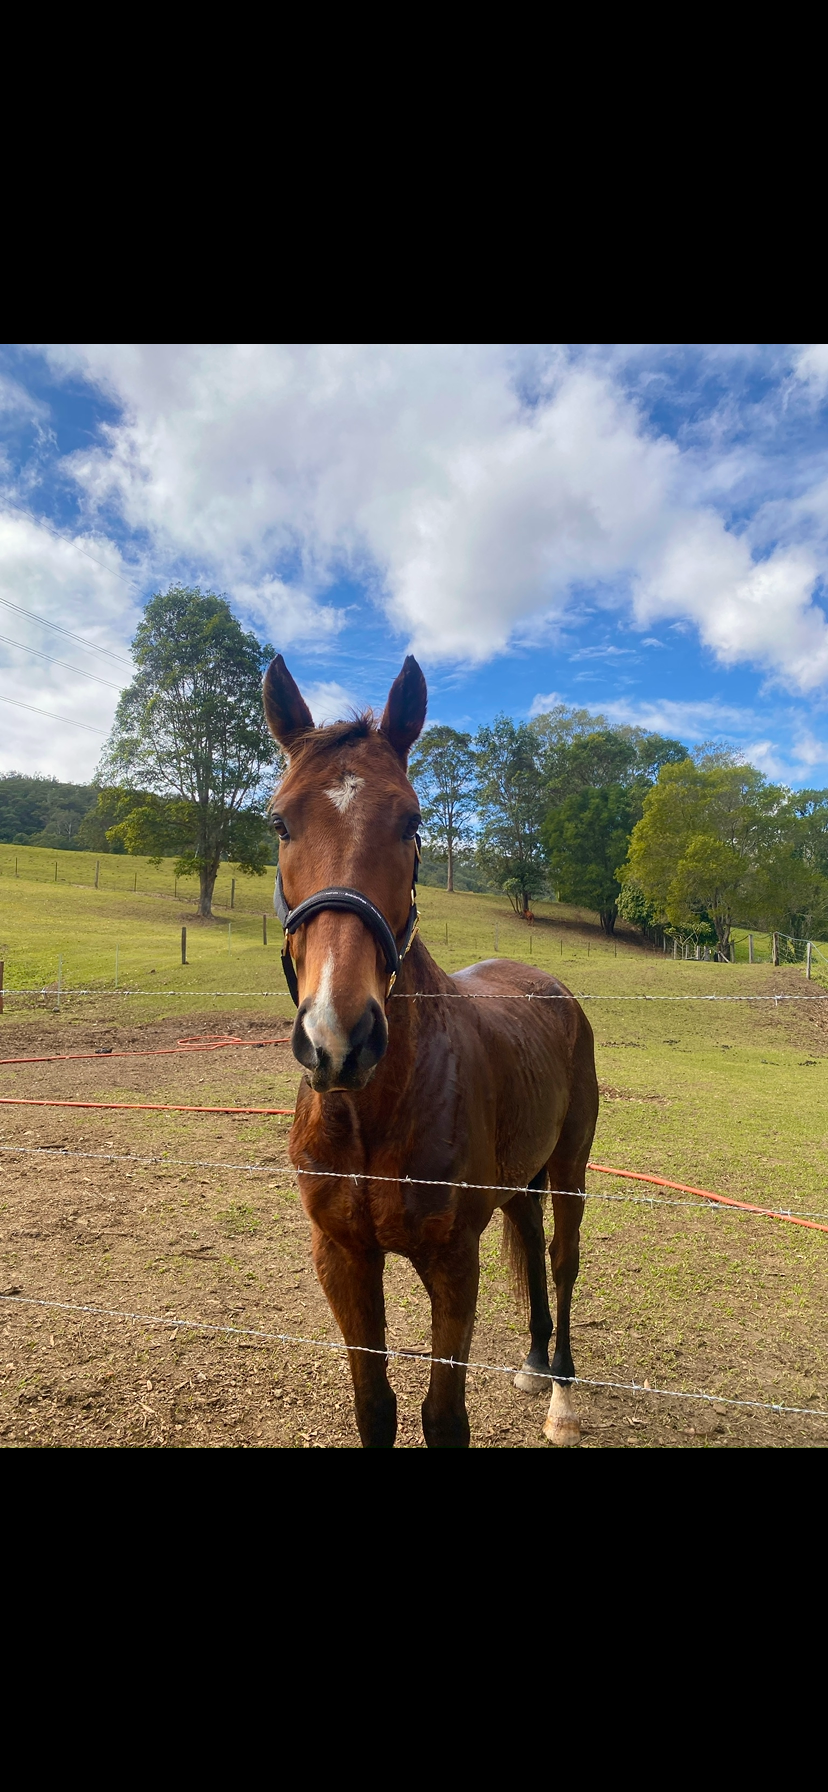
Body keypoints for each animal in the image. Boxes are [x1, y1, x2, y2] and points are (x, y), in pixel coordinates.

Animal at [263, 652, 599, 1448]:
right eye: (280, 822)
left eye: (411, 821)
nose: (339, 1038)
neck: (373, 1114)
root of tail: (549, 985)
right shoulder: (343, 1257)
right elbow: (374, 1407)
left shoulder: (451, 1263)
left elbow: (444, 1418)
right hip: (521, 1177)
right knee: (529, 1238)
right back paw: (534, 1359)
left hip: (569, 1168)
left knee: (561, 1261)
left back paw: (561, 1391)